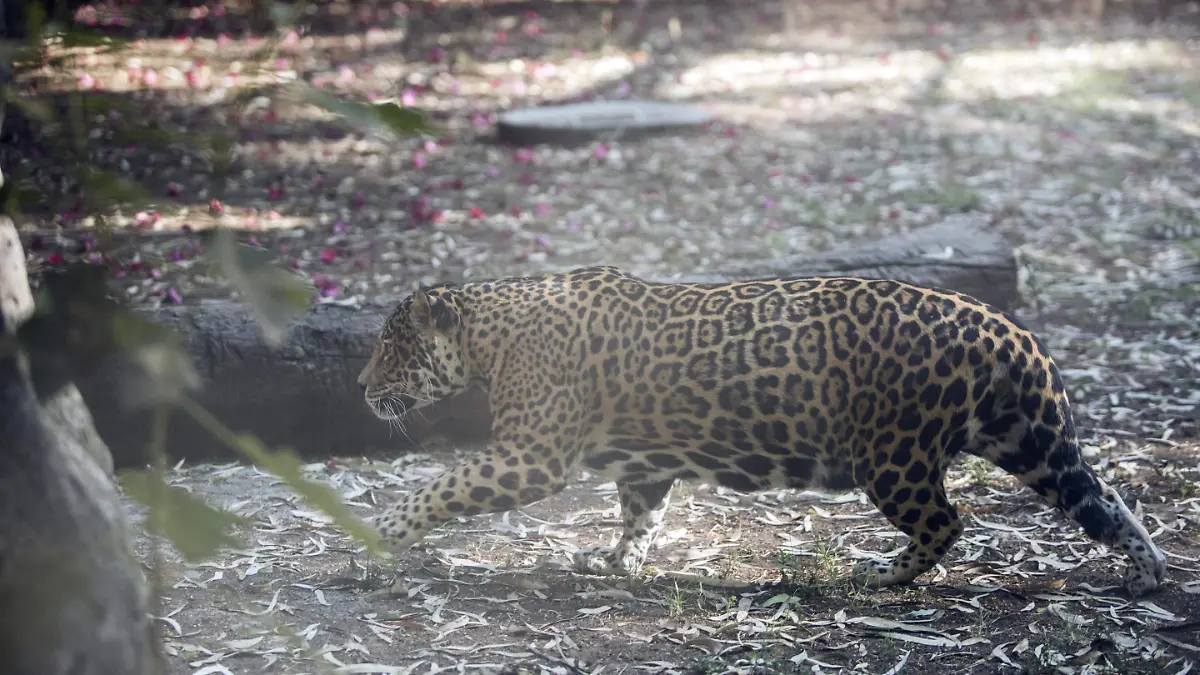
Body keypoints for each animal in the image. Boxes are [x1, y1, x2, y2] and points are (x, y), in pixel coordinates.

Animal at [357, 265, 1166, 596]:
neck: (488, 335)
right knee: (1103, 500)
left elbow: (441, 486)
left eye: (391, 347)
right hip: (1026, 438)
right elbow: (640, 514)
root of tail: (1005, 326)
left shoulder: (530, 457)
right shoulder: (644, 465)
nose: (362, 388)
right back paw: (1148, 570)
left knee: (948, 518)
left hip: (893, 456)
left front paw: (379, 531)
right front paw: (615, 563)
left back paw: (880, 575)